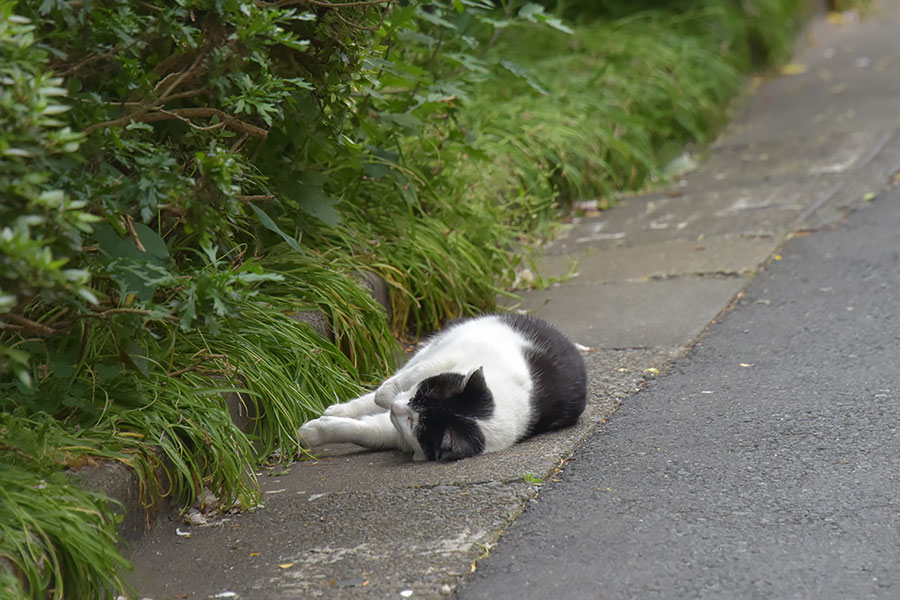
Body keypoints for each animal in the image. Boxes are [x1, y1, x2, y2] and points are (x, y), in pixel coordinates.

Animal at [298, 312, 588, 462]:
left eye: (416, 425)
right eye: (422, 393)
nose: (397, 408)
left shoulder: (397, 434)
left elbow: (365, 432)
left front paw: (310, 434)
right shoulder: (450, 356)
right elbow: (405, 379)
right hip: (451, 337)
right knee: (403, 372)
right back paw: (345, 405)